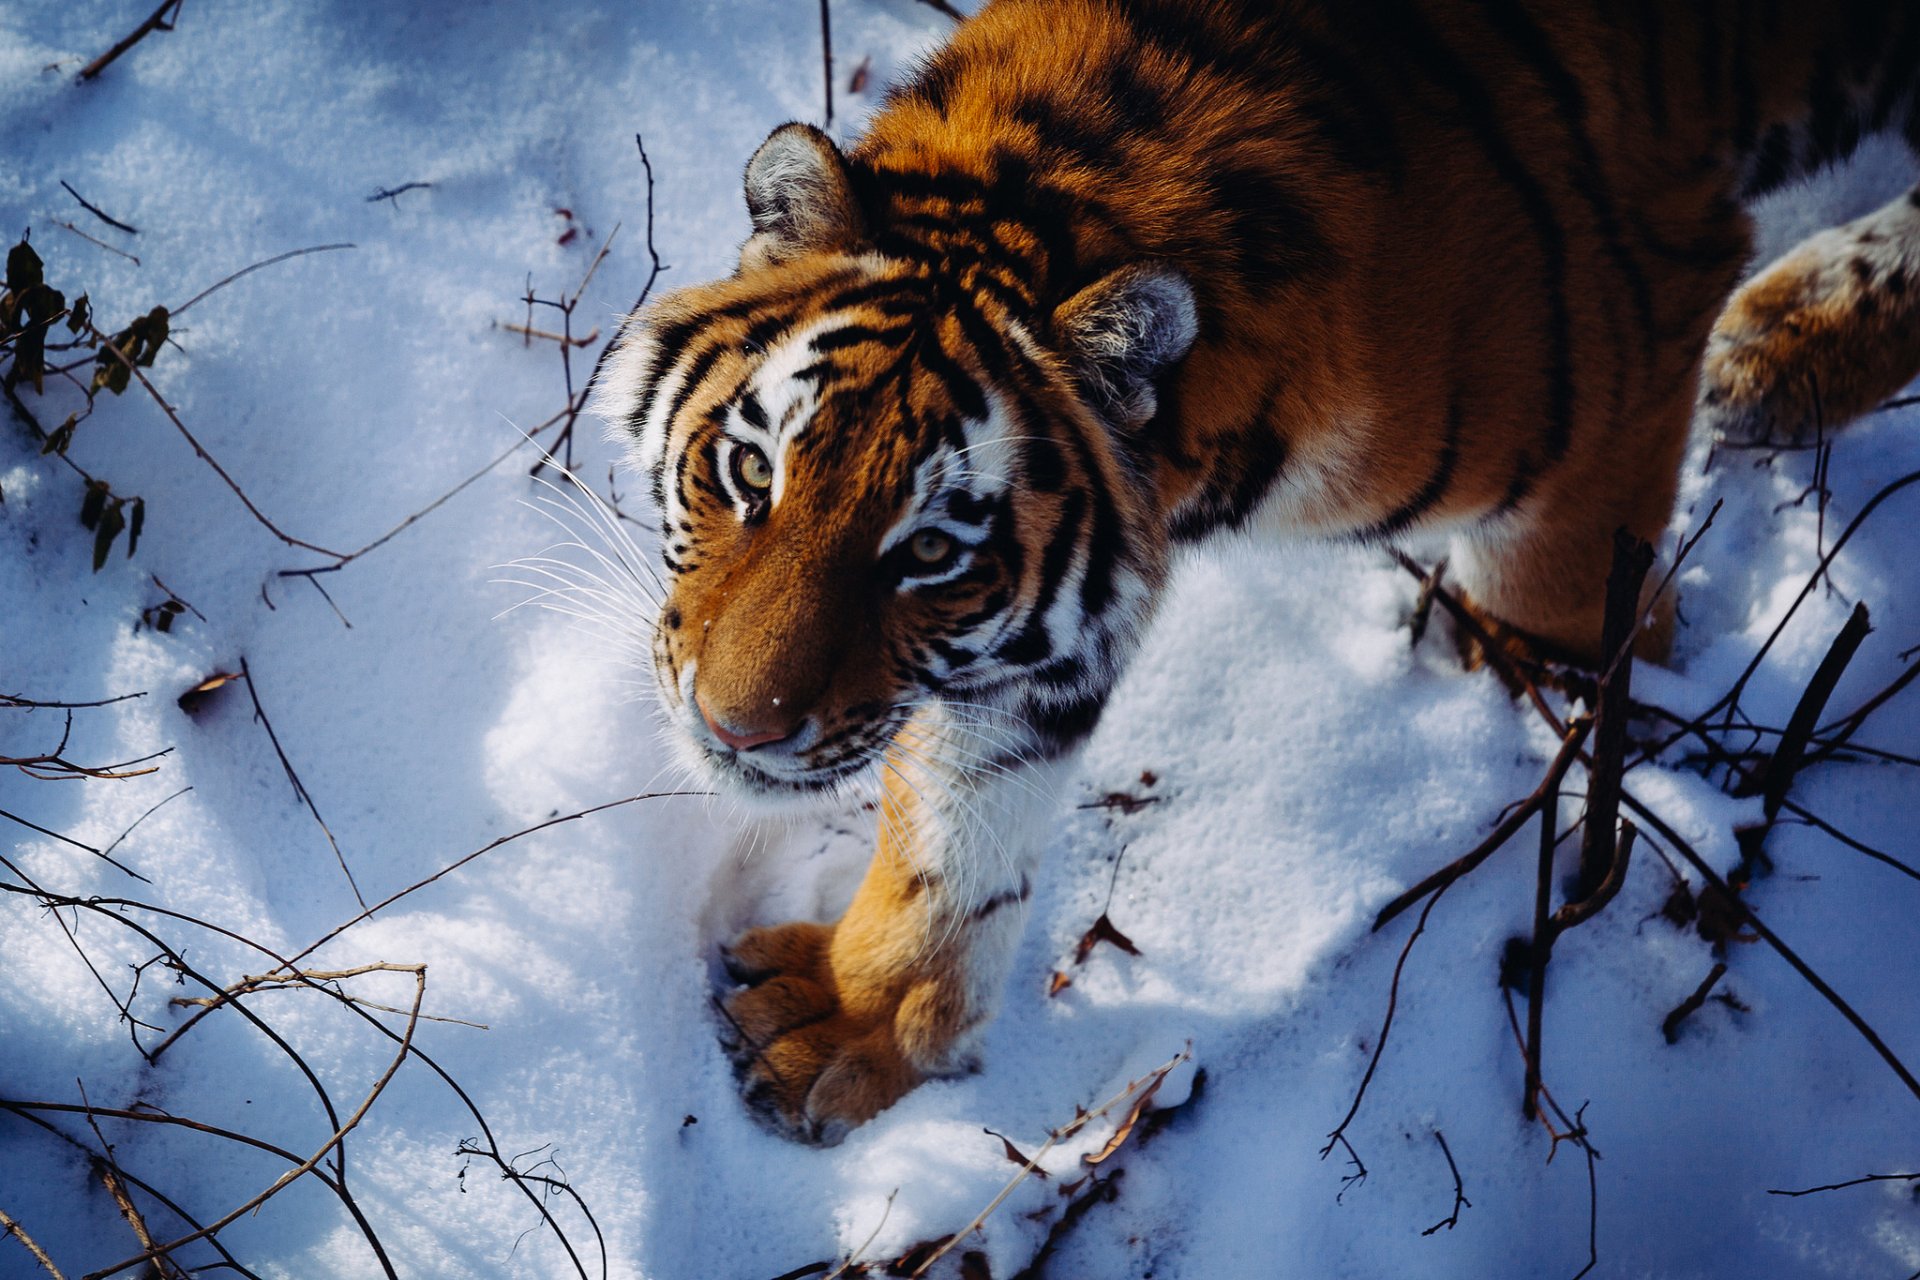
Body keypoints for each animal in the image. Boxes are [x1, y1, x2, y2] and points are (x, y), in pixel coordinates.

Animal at [587, 0, 1920, 1144]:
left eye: (929, 551)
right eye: (749, 469)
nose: (735, 728)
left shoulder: (1604, 429)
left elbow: (1562, 641)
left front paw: (1550, 742)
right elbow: (963, 819)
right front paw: (858, 1020)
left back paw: (1776, 344)